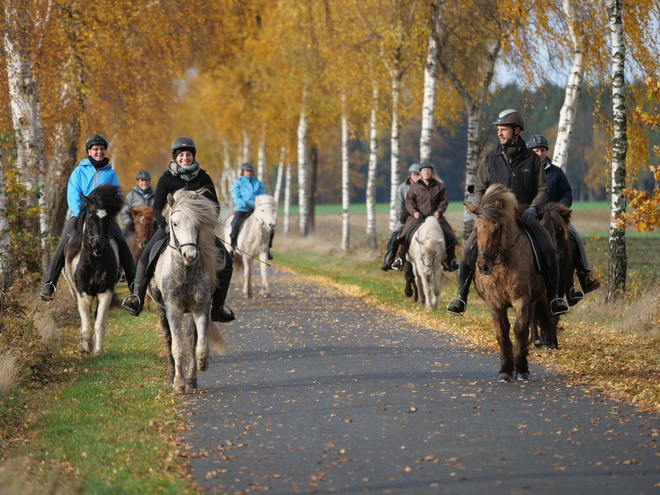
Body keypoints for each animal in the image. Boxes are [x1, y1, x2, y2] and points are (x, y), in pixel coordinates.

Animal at [62, 184, 124, 354]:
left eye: (107, 219)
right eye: (90, 218)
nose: (98, 247)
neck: (94, 263)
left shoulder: (105, 292)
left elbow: (99, 324)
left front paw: (98, 351)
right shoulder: (82, 293)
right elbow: (86, 326)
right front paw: (84, 346)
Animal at [148, 188, 231, 394]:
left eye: (197, 223)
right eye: (174, 223)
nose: (190, 255)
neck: (184, 270)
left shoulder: (200, 308)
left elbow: (199, 343)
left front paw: (201, 366)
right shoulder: (173, 310)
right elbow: (177, 348)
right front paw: (179, 384)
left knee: (192, 338)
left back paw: (191, 378)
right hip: (161, 309)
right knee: (168, 339)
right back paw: (171, 379)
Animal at [464, 186, 556, 384]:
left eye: (496, 229)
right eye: (476, 229)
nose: (482, 266)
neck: (502, 264)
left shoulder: (521, 299)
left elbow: (519, 329)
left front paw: (521, 368)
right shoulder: (494, 303)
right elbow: (502, 332)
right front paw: (505, 371)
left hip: (533, 300)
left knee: (528, 325)